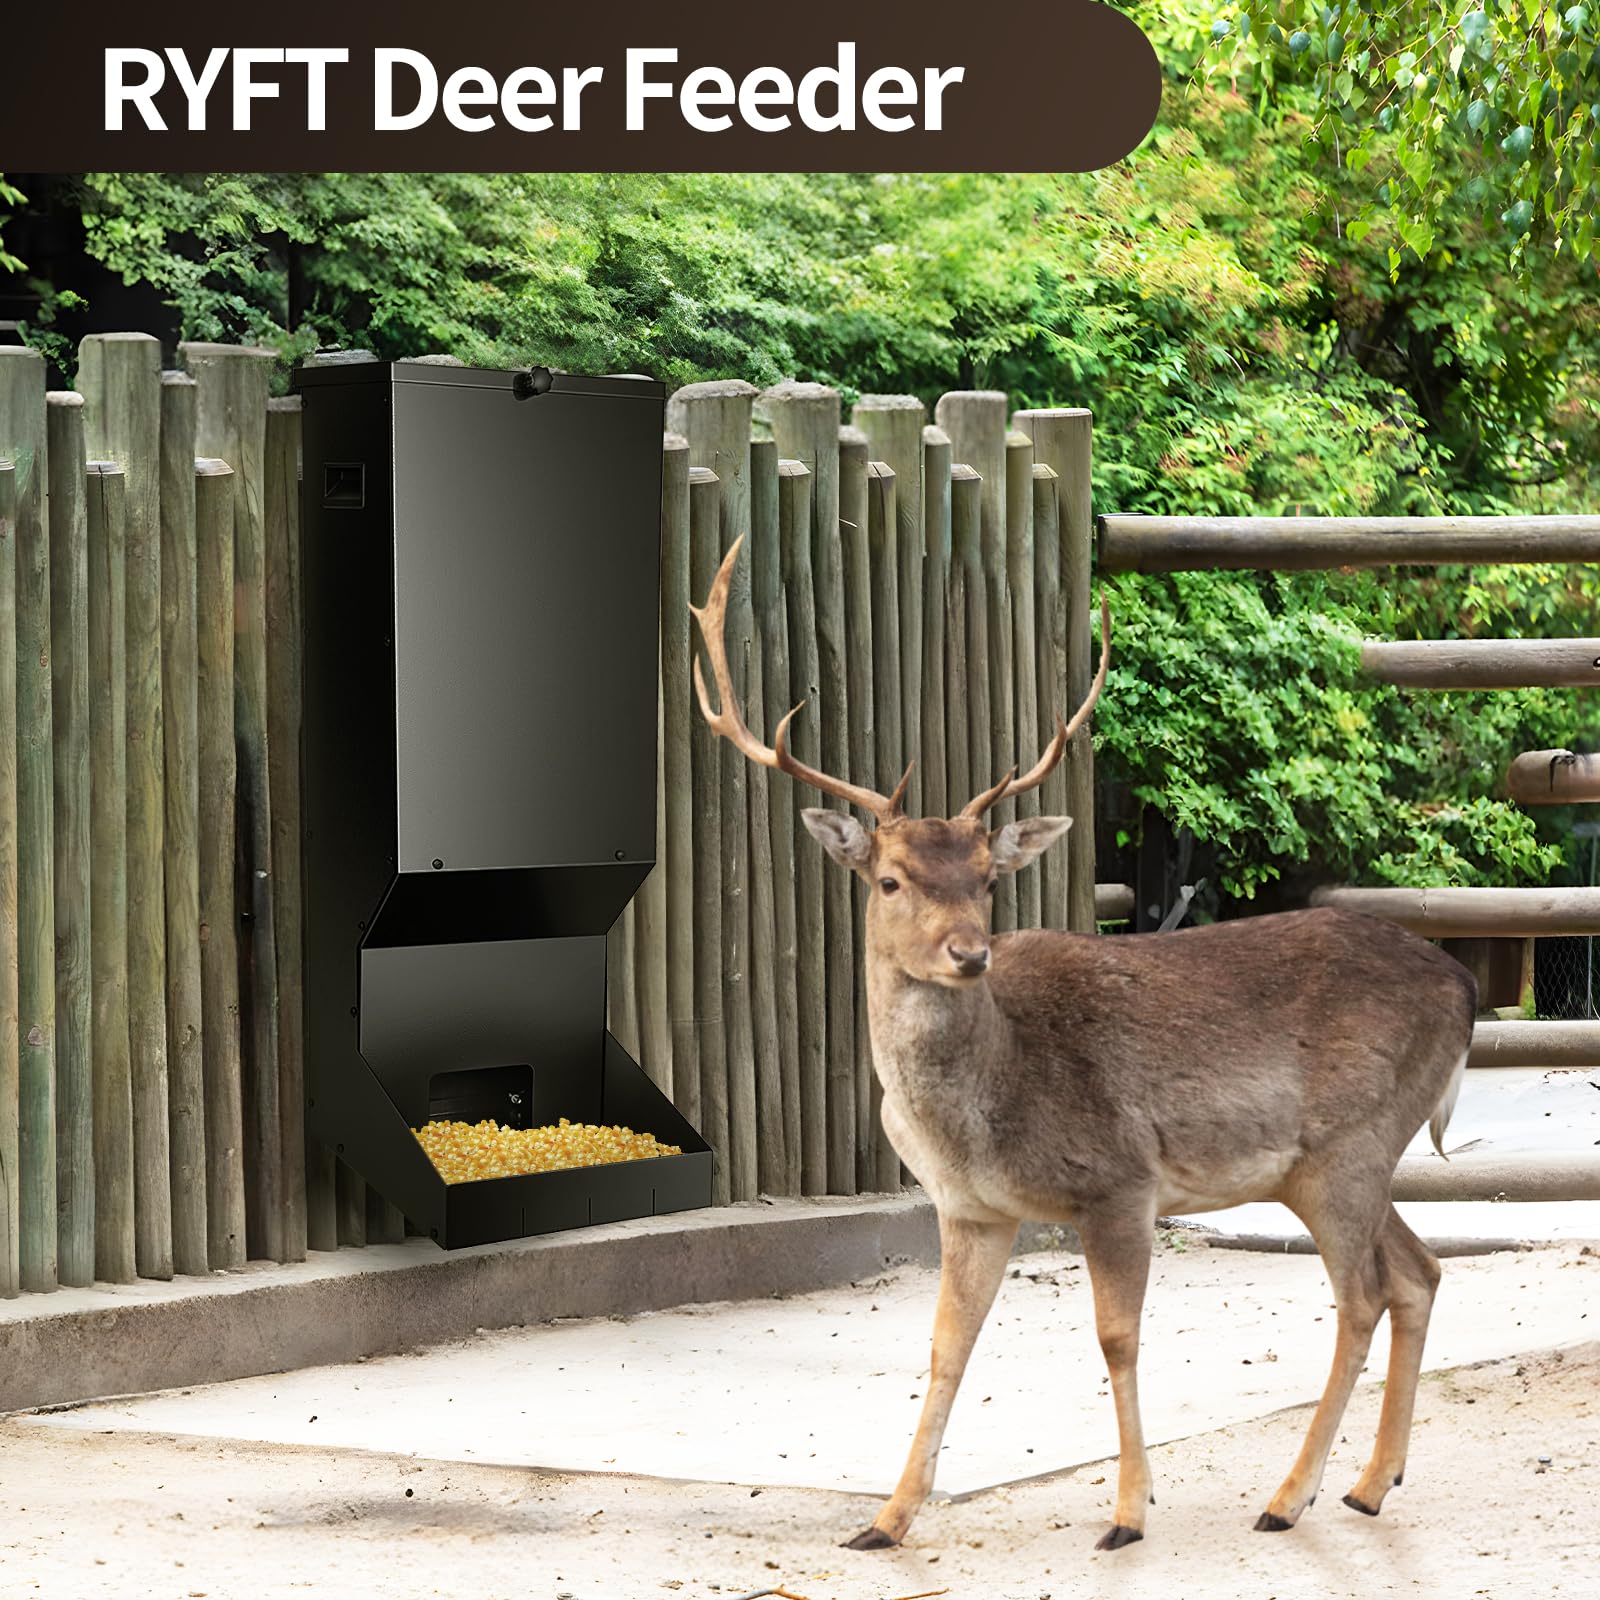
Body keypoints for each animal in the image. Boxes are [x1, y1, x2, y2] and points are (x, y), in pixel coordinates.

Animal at [690, 536, 1476, 1554]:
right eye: (892, 879)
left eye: (987, 878)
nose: (970, 953)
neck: (977, 1115)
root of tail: (1465, 987)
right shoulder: (970, 1209)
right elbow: (947, 1346)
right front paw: (885, 1520)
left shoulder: (1119, 1180)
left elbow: (1116, 1337)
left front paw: (1128, 1514)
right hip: (1340, 1162)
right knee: (1420, 1272)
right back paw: (1369, 1485)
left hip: (1351, 1142)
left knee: (1365, 1295)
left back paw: (1287, 1496)